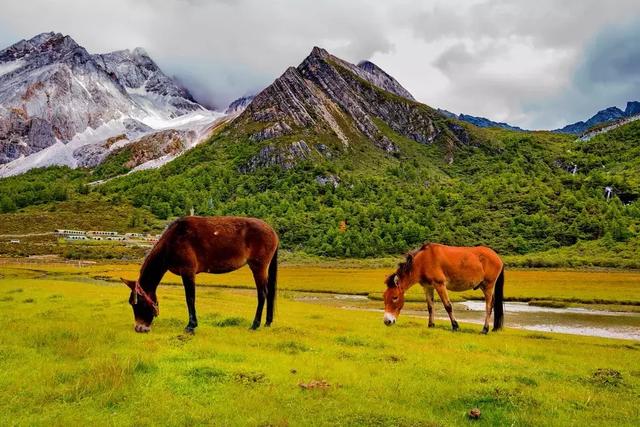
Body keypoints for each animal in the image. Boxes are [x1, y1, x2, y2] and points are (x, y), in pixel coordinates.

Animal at [121, 217, 278, 334]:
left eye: (136, 303)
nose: (139, 328)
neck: (173, 240)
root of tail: (272, 231)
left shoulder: (188, 272)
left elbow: (190, 298)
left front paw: (191, 326)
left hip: (258, 267)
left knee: (262, 294)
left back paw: (255, 324)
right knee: (269, 293)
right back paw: (267, 322)